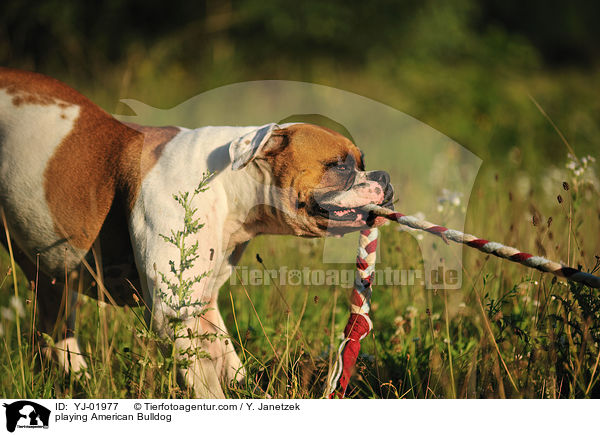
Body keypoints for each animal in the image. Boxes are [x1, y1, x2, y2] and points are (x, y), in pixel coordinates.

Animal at [0, 68, 394, 398]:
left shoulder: (202, 306)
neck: (230, 180)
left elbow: (227, 360)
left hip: (49, 273)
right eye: (339, 166)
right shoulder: (172, 312)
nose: (384, 176)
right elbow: (206, 385)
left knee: (55, 330)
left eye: (361, 162)